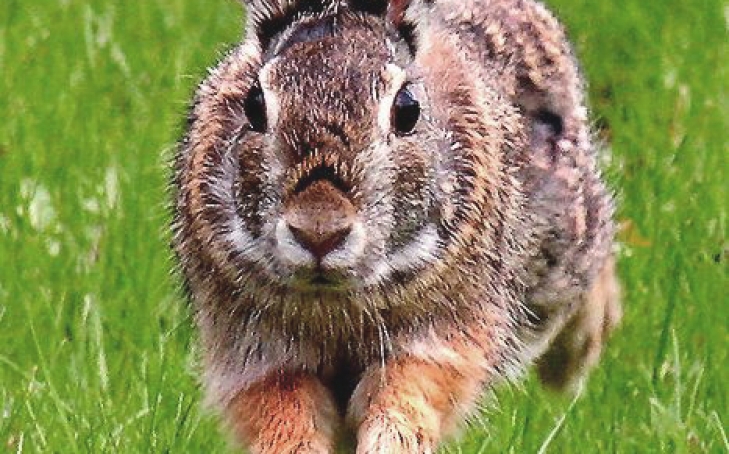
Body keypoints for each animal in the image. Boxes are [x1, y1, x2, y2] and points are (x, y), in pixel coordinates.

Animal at [172, 0, 621, 452]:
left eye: (406, 110)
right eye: (254, 105)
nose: (319, 231)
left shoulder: (442, 336)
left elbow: (406, 394)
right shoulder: (255, 351)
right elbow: (285, 416)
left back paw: (577, 358)